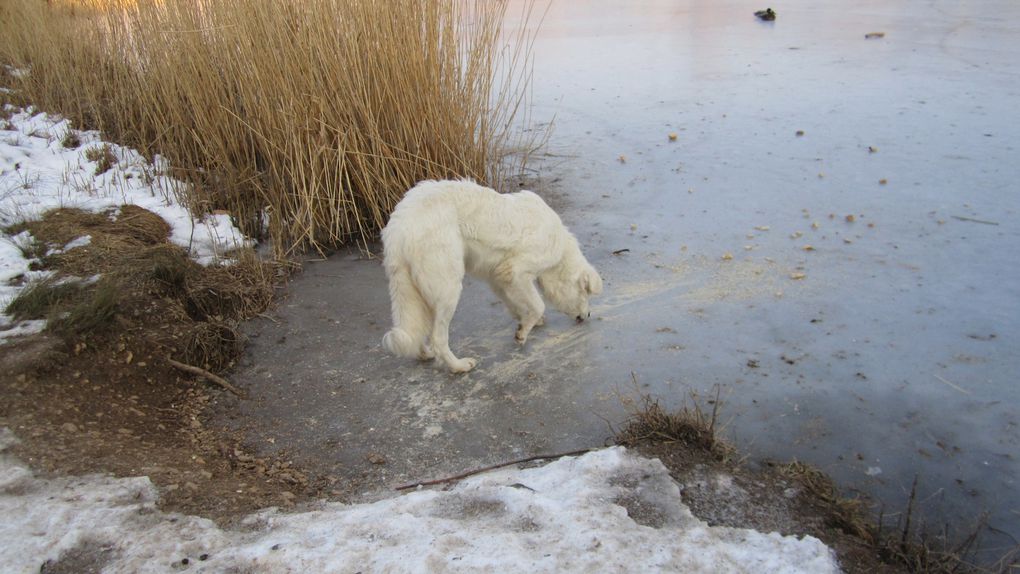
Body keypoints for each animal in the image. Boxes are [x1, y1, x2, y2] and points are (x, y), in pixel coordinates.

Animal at [383, 181, 603, 375]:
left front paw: (526, 321)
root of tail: (399, 226)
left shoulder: (498, 278)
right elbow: (538, 304)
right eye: (586, 294)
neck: (559, 248)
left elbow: (518, 304)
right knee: (438, 338)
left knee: (417, 327)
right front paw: (523, 333)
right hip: (449, 289)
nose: (588, 315)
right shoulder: (515, 271)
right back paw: (458, 366)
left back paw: (424, 353)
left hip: (415, 291)